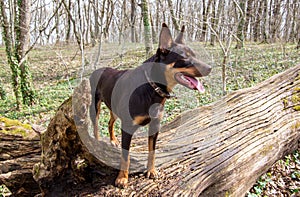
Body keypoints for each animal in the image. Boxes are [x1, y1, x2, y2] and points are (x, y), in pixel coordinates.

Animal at [89, 23, 211, 188]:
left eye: (195, 55)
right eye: (185, 57)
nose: (210, 68)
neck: (151, 87)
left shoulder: (155, 125)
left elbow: (152, 151)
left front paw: (151, 171)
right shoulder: (127, 128)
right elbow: (125, 156)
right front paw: (122, 178)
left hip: (113, 107)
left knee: (110, 122)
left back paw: (113, 140)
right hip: (95, 105)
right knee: (96, 125)